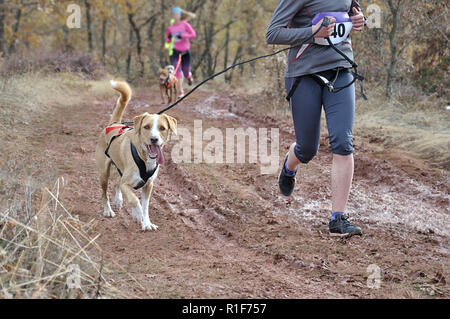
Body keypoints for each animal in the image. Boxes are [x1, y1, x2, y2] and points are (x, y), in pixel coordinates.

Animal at [95, 79, 178, 230]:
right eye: (146, 127)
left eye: (162, 128)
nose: (154, 139)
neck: (145, 158)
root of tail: (114, 123)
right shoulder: (126, 184)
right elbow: (135, 200)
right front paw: (138, 214)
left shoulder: (148, 185)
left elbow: (145, 206)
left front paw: (147, 223)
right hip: (103, 173)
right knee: (105, 193)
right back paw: (108, 210)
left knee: (117, 182)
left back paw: (118, 200)